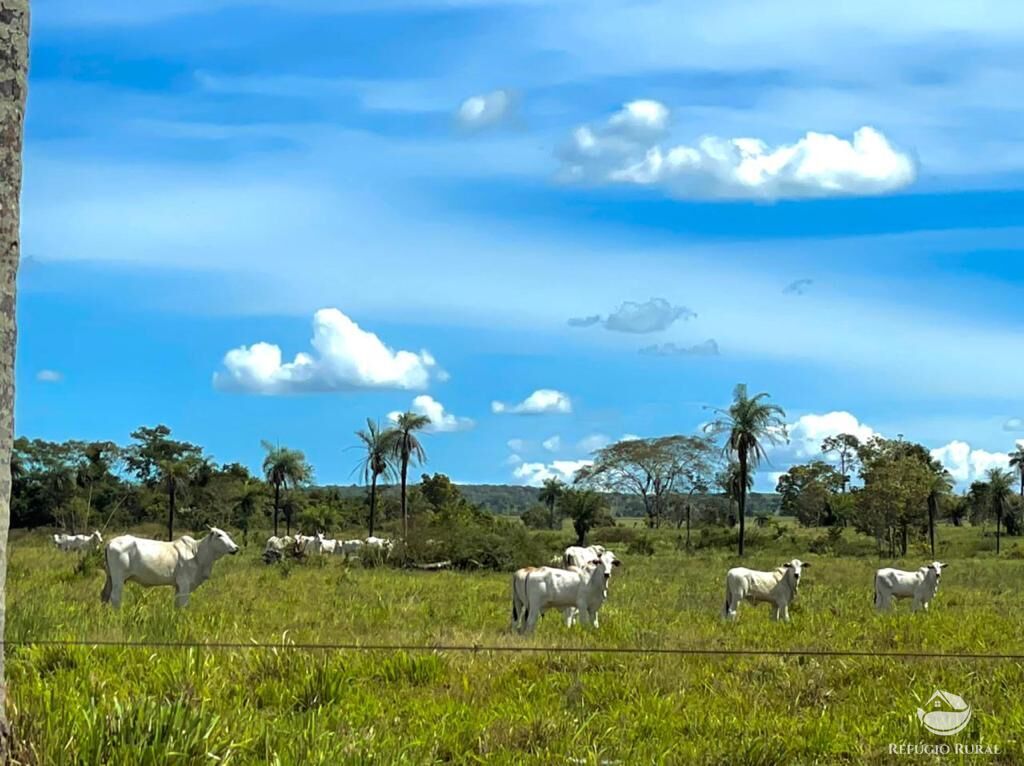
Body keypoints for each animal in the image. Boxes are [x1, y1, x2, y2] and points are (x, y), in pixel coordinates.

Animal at [102, 524, 241, 606]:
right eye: (219, 535)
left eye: (228, 535)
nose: (236, 548)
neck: (197, 554)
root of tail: (110, 542)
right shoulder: (184, 584)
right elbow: (184, 604)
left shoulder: (178, 586)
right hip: (118, 578)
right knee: (115, 597)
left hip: (110, 577)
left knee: (104, 596)